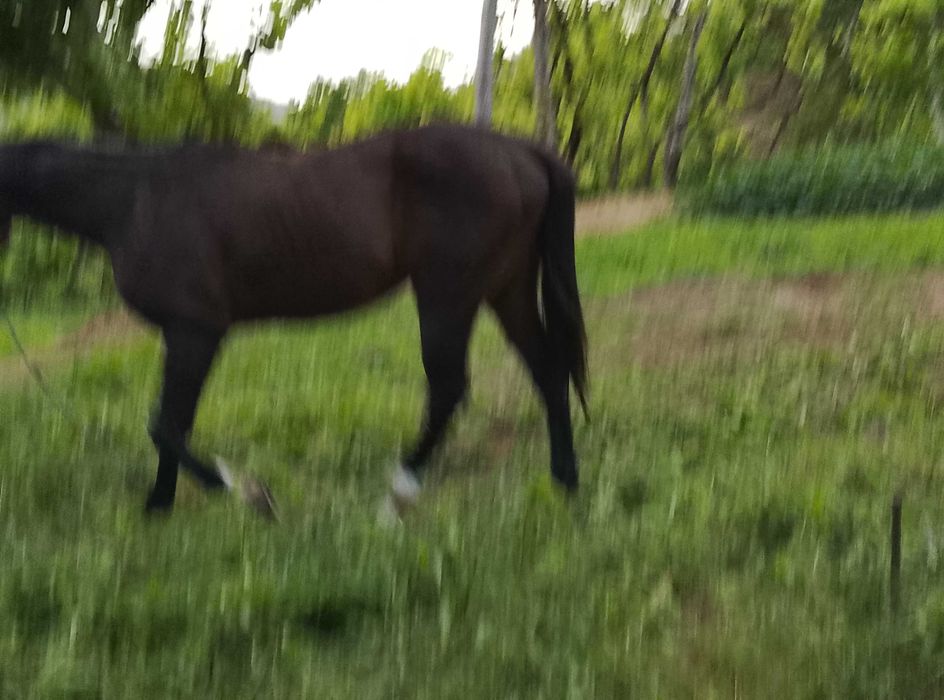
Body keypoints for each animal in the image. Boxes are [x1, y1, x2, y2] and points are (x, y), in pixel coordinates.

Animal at [0, 124, 587, 516]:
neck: (134, 201)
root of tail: (518, 150)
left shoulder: (196, 330)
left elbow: (164, 424)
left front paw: (239, 489)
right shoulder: (182, 335)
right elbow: (173, 422)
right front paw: (160, 505)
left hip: (447, 294)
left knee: (449, 388)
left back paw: (401, 486)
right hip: (505, 290)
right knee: (546, 370)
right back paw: (563, 481)